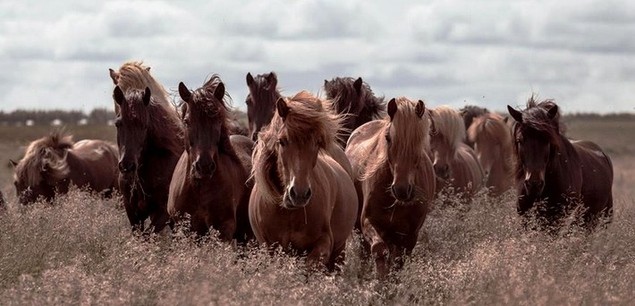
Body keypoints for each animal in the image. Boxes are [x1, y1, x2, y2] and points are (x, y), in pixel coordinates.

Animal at [248, 91, 358, 272]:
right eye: (282, 141)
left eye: (317, 142)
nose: (299, 194)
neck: (289, 213)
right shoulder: (270, 248)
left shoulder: (324, 243)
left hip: (339, 251)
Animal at [348, 97, 438, 278]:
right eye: (388, 138)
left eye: (418, 140)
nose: (402, 190)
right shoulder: (368, 222)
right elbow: (379, 250)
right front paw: (380, 282)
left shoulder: (410, 236)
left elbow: (397, 263)